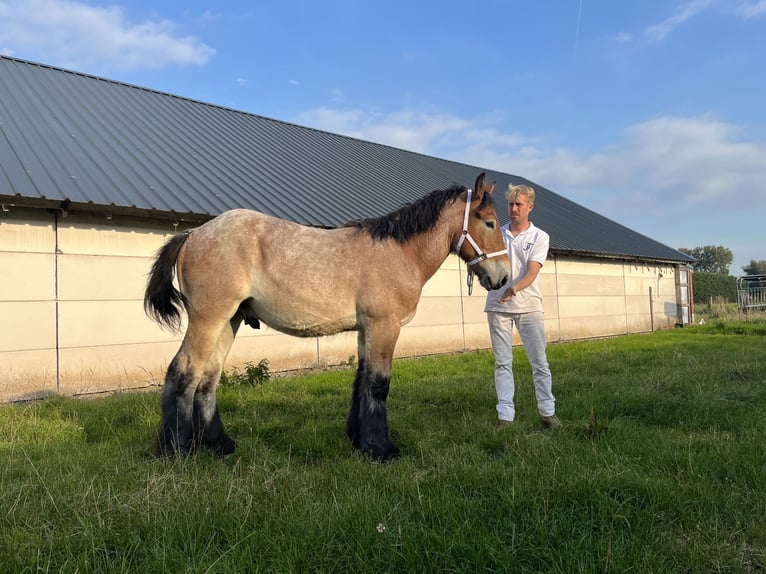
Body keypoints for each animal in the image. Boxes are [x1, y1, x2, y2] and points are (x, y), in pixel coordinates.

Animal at [147, 172, 512, 464]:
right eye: (490, 222)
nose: (504, 277)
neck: (398, 252)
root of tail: (192, 235)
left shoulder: (366, 330)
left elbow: (361, 382)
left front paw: (359, 440)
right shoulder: (384, 327)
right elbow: (378, 384)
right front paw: (382, 449)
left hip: (228, 322)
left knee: (208, 379)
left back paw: (219, 444)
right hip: (208, 320)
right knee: (184, 372)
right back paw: (176, 450)